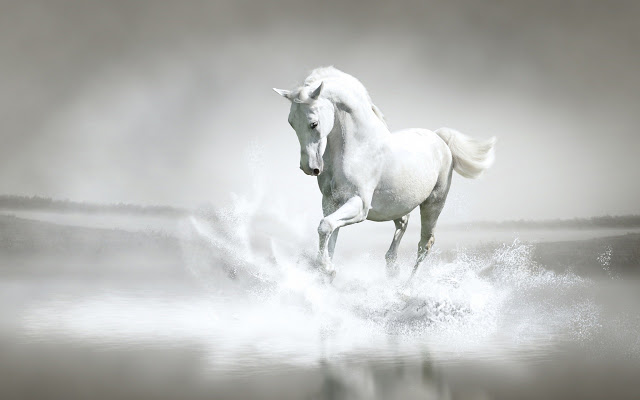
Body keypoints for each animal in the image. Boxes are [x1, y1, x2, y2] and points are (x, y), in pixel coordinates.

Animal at [273, 67, 495, 281]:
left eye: (313, 123)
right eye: (291, 122)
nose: (309, 167)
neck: (358, 148)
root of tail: (440, 139)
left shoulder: (359, 205)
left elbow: (325, 226)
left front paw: (328, 269)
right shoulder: (330, 202)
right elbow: (330, 234)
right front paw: (326, 272)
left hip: (433, 204)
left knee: (425, 244)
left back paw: (405, 288)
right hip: (397, 204)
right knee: (403, 224)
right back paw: (392, 267)